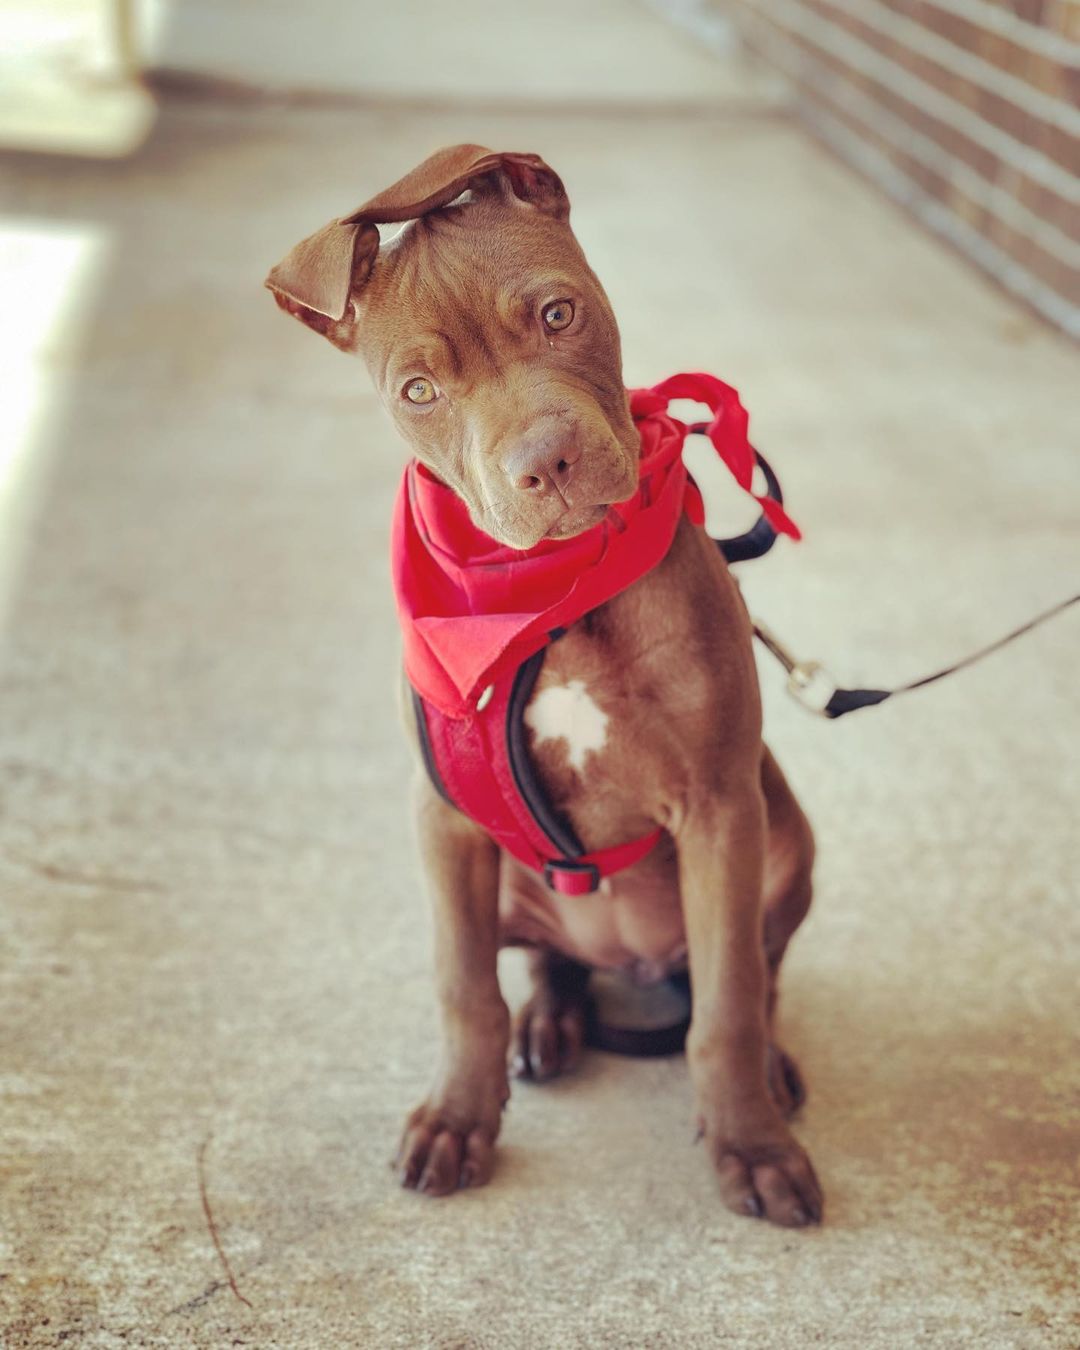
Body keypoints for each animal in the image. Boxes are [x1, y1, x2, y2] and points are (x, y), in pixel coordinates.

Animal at [267, 142, 820, 1231]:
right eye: (419, 391)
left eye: (558, 315)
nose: (547, 464)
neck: (551, 596)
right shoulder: (444, 816)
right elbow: (462, 986)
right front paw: (455, 1119)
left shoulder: (721, 806)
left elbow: (729, 1002)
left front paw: (751, 1144)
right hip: (516, 871)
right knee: (550, 958)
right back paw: (548, 1025)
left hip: (784, 838)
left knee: (758, 969)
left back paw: (770, 1071)